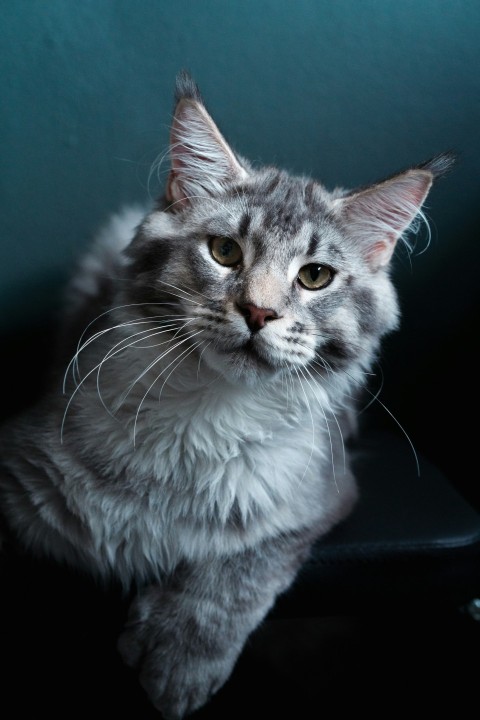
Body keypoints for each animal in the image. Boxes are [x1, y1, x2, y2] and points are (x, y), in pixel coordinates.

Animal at [0, 69, 454, 720]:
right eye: (224, 252)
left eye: (314, 276)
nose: (259, 312)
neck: (207, 408)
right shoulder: (21, 466)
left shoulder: (321, 494)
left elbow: (240, 566)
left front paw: (178, 660)